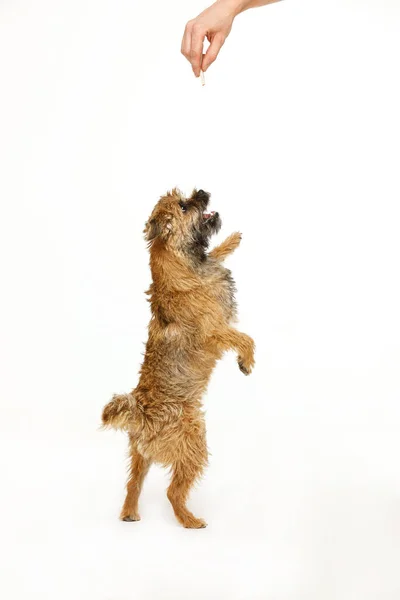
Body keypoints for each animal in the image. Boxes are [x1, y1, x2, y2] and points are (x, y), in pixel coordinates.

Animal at [101, 189, 255, 528]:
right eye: (184, 206)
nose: (202, 192)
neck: (185, 265)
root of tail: (140, 416)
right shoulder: (215, 331)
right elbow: (245, 338)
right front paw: (247, 362)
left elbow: (216, 254)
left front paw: (232, 240)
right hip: (194, 440)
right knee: (173, 491)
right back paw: (190, 521)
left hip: (140, 455)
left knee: (133, 483)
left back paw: (130, 513)